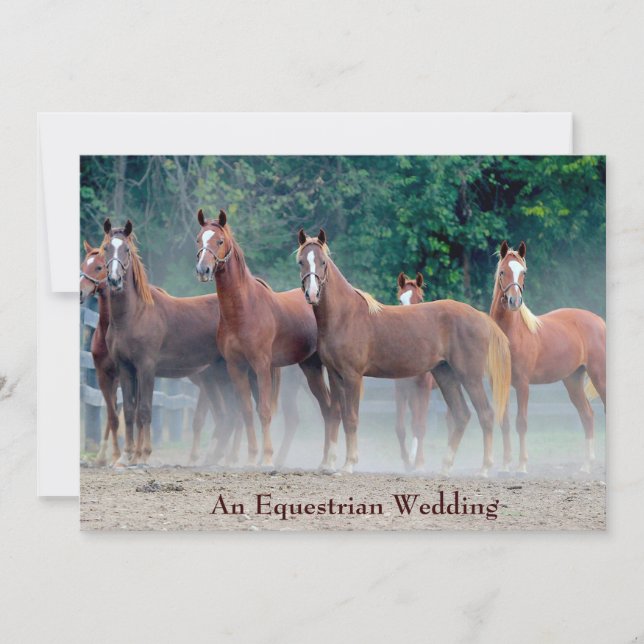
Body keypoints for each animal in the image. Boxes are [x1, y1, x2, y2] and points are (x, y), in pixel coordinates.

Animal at [101, 218, 234, 466]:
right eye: (106, 248)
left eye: (126, 250)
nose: (114, 280)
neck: (133, 315)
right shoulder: (126, 368)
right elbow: (130, 411)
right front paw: (127, 456)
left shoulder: (146, 368)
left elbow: (145, 410)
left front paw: (144, 455)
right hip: (215, 376)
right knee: (229, 415)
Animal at [195, 208, 341, 470]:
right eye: (198, 239)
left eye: (219, 241)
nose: (203, 270)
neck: (243, 309)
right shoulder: (237, 367)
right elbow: (246, 411)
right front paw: (253, 457)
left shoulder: (261, 366)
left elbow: (263, 410)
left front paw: (268, 458)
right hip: (310, 368)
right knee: (326, 409)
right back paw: (324, 461)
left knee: (330, 409)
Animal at [296, 229, 511, 476]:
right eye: (301, 261)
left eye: (323, 262)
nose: (312, 294)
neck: (345, 316)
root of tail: (481, 318)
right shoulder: (334, 375)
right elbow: (335, 415)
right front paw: (329, 463)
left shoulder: (352, 376)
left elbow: (351, 418)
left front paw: (349, 464)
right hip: (446, 375)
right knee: (462, 415)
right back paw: (445, 468)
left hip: (470, 377)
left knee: (485, 415)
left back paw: (484, 468)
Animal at [490, 240, 606, 473]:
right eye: (503, 271)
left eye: (524, 272)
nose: (514, 301)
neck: (511, 334)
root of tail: (599, 321)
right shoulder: (501, 384)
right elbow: (504, 422)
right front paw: (505, 466)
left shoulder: (523, 385)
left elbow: (521, 422)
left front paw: (522, 466)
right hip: (573, 381)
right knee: (587, 416)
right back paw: (586, 465)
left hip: (599, 376)